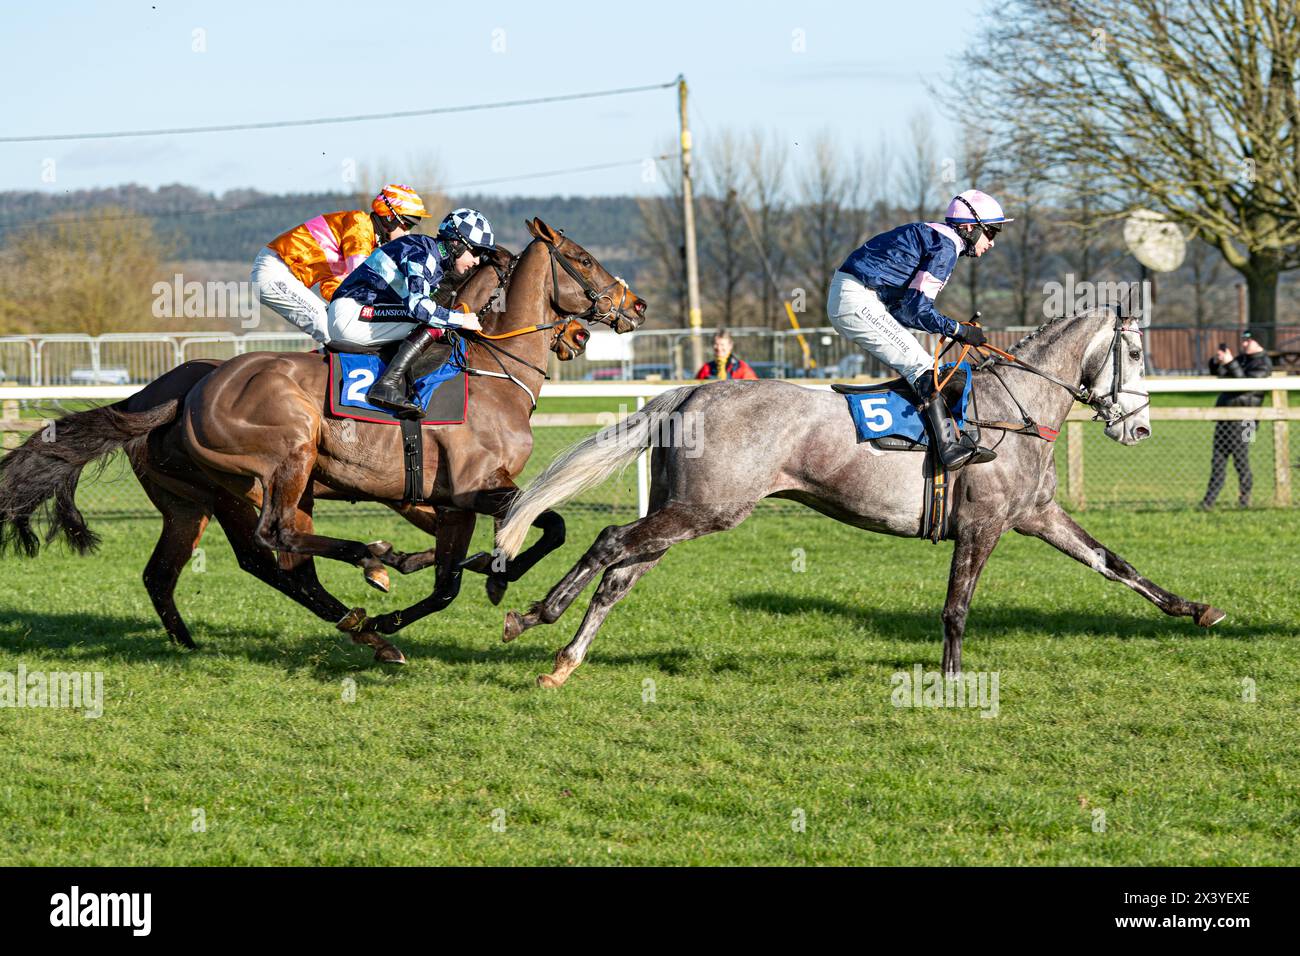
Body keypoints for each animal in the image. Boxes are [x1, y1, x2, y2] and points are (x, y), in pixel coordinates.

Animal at [491, 308, 1222, 686]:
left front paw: (1196, 609)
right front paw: (953, 681)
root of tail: (691, 390)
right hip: (708, 510)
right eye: (1135, 352)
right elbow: (957, 608)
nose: (1140, 427)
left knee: (620, 575)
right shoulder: (982, 526)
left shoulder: (1037, 516)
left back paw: (564, 660)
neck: (1015, 407)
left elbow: (1115, 563)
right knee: (610, 543)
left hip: (686, 511)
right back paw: (534, 616)